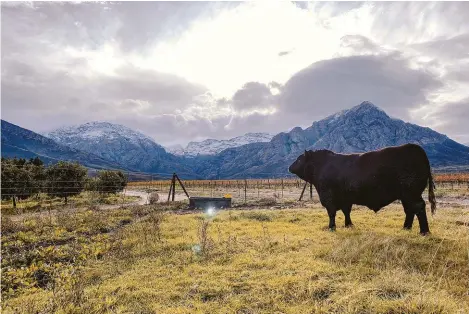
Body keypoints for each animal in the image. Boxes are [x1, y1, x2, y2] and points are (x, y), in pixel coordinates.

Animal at [288, 144, 436, 234]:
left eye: (299, 160)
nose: (289, 167)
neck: (322, 165)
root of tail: (416, 148)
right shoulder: (346, 199)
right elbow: (346, 212)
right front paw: (349, 225)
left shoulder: (328, 197)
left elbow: (332, 213)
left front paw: (332, 227)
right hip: (405, 196)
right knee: (410, 210)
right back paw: (406, 228)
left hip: (412, 194)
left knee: (419, 208)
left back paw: (424, 232)